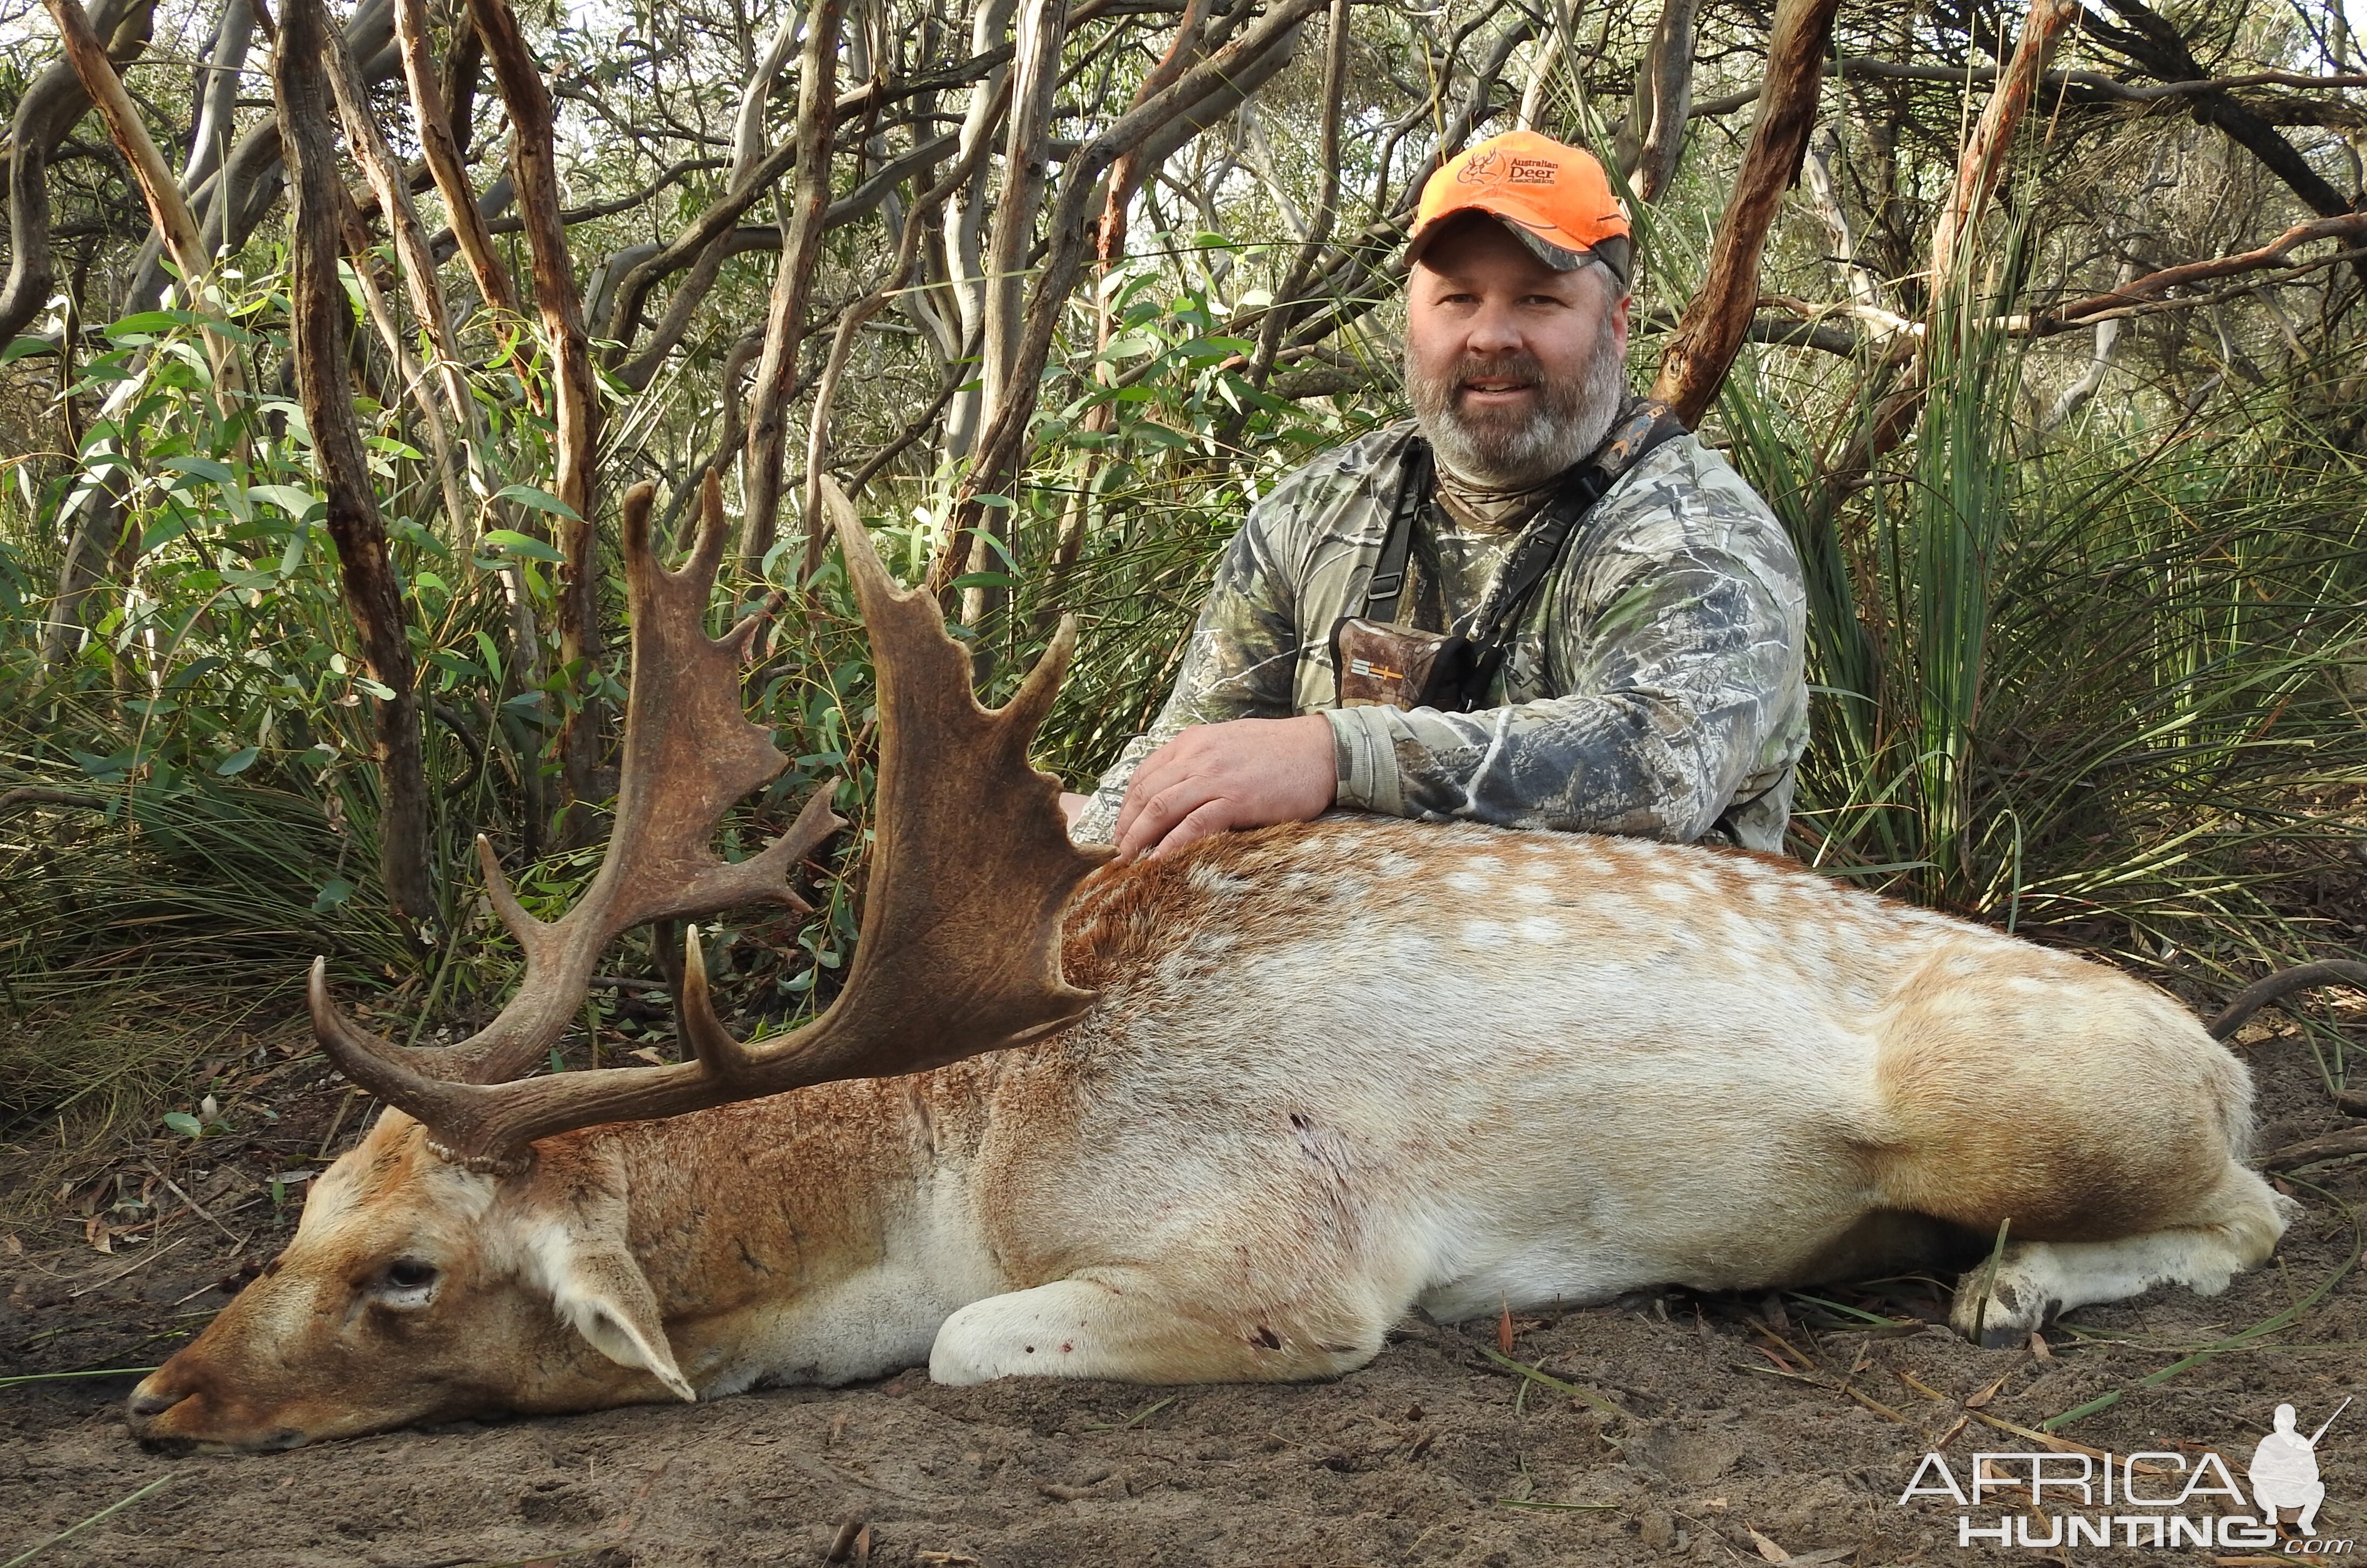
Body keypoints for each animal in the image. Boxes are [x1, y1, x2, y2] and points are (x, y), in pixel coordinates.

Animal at [125, 474, 2291, 1459]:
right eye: (305, 1207)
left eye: (409, 1273)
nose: (154, 1400)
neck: (955, 1154)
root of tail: (2226, 1047)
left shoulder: (1280, 1246)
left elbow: (969, 1348)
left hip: (2014, 1100)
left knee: (2255, 1212)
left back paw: (2007, 1290)